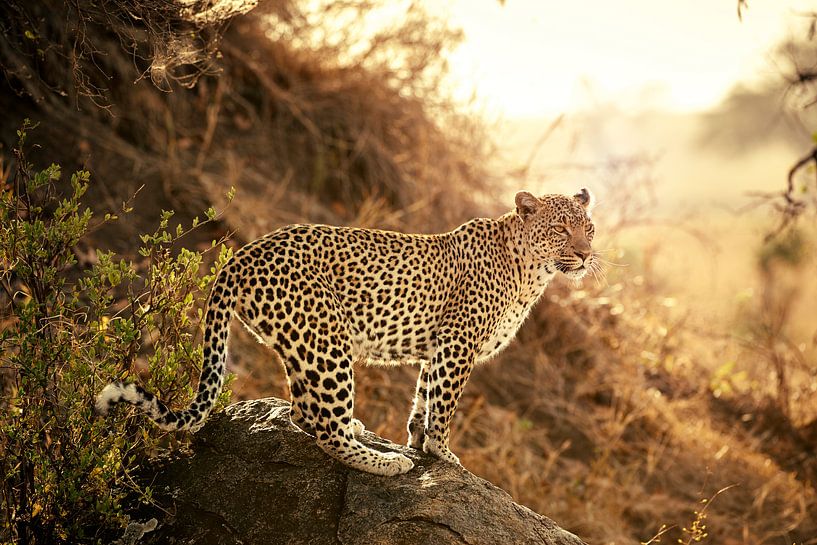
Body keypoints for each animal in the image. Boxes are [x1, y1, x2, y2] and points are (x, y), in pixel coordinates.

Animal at [96, 188, 597, 476]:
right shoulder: (458, 345)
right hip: (326, 341)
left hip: (303, 345)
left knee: (303, 413)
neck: (533, 273)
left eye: (588, 228)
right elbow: (444, 406)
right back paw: (384, 462)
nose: (585, 254)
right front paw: (442, 453)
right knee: (327, 433)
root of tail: (238, 257)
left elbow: (423, 397)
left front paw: (419, 442)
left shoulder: (438, 348)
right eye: (560, 229)